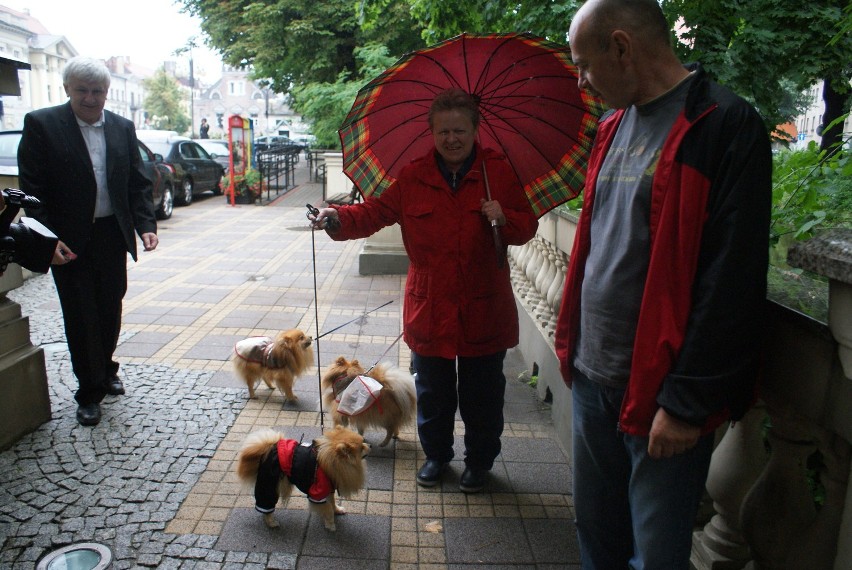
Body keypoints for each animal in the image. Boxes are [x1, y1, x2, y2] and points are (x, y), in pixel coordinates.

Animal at [235, 426, 368, 528]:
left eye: (363, 442)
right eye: (361, 448)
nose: (369, 445)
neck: (333, 462)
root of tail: (267, 450)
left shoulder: (329, 488)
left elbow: (332, 502)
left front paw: (337, 510)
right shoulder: (317, 494)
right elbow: (328, 509)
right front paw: (330, 525)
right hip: (269, 485)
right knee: (266, 505)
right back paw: (271, 522)